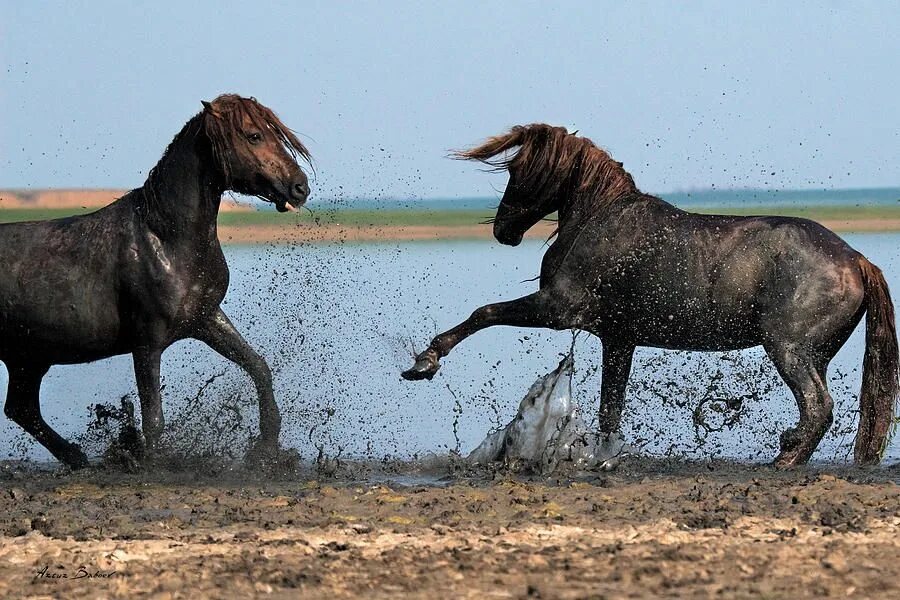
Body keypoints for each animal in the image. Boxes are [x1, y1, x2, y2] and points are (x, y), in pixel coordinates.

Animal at [0, 94, 312, 468]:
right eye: (253, 135)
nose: (300, 187)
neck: (165, 238)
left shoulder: (206, 319)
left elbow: (258, 367)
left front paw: (266, 448)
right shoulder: (147, 341)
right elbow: (153, 416)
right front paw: (151, 460)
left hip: (28, 359)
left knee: (22, 409)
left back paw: (77, 458)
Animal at [402, 124, 900, 466]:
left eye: (521, 168)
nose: (504, 230)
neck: (599, 222)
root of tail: (857, 260)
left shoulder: (558, 312)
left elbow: (483, 312)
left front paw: (424, 361)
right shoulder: (619, 339)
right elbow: (610, 410)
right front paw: (602, 458)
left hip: (789, 349)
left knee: (819, 408)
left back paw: (784, 459)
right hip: (814, 354)